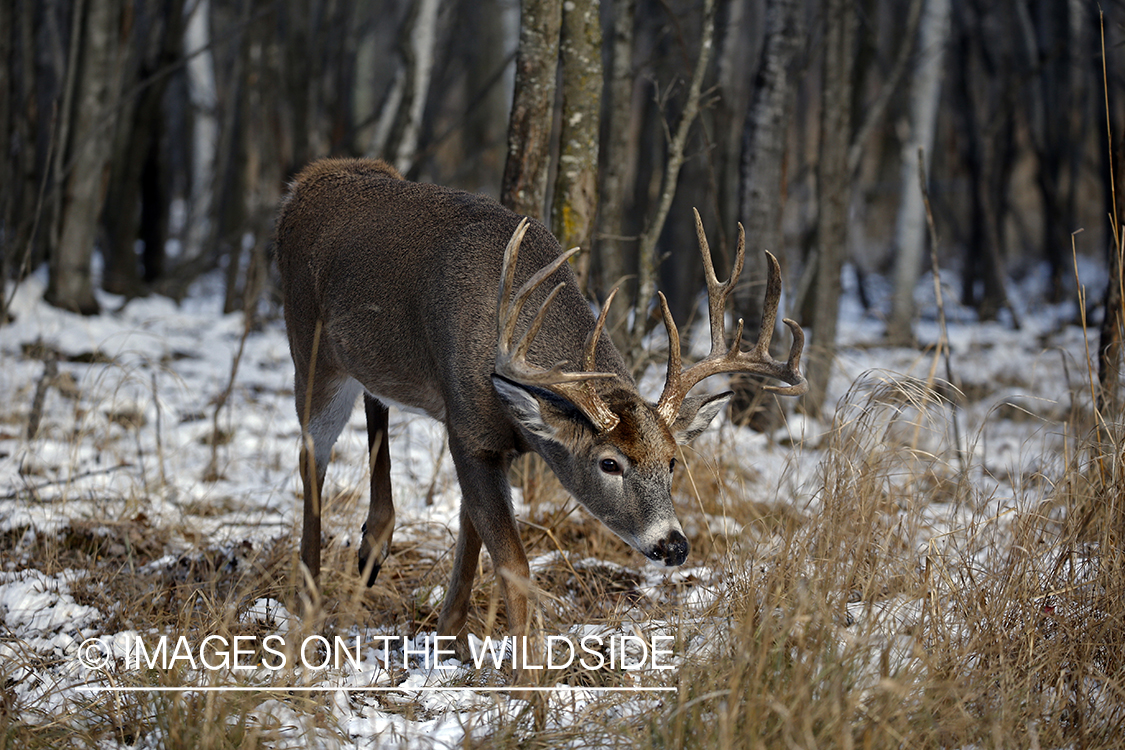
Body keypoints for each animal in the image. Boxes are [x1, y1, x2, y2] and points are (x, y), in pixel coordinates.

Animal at [275, 158, 805, 679]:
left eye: (672, 461)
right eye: (609, 463)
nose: (672, 545)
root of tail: (304, 183)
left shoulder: (493, 441)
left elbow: (472, 529)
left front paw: (452, 640)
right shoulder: (469, 429)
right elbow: (512, 561)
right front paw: (528, 681)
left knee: (374, 403)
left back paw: (372, 547)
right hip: (310, 346)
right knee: (311, 458)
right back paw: (308, 616)